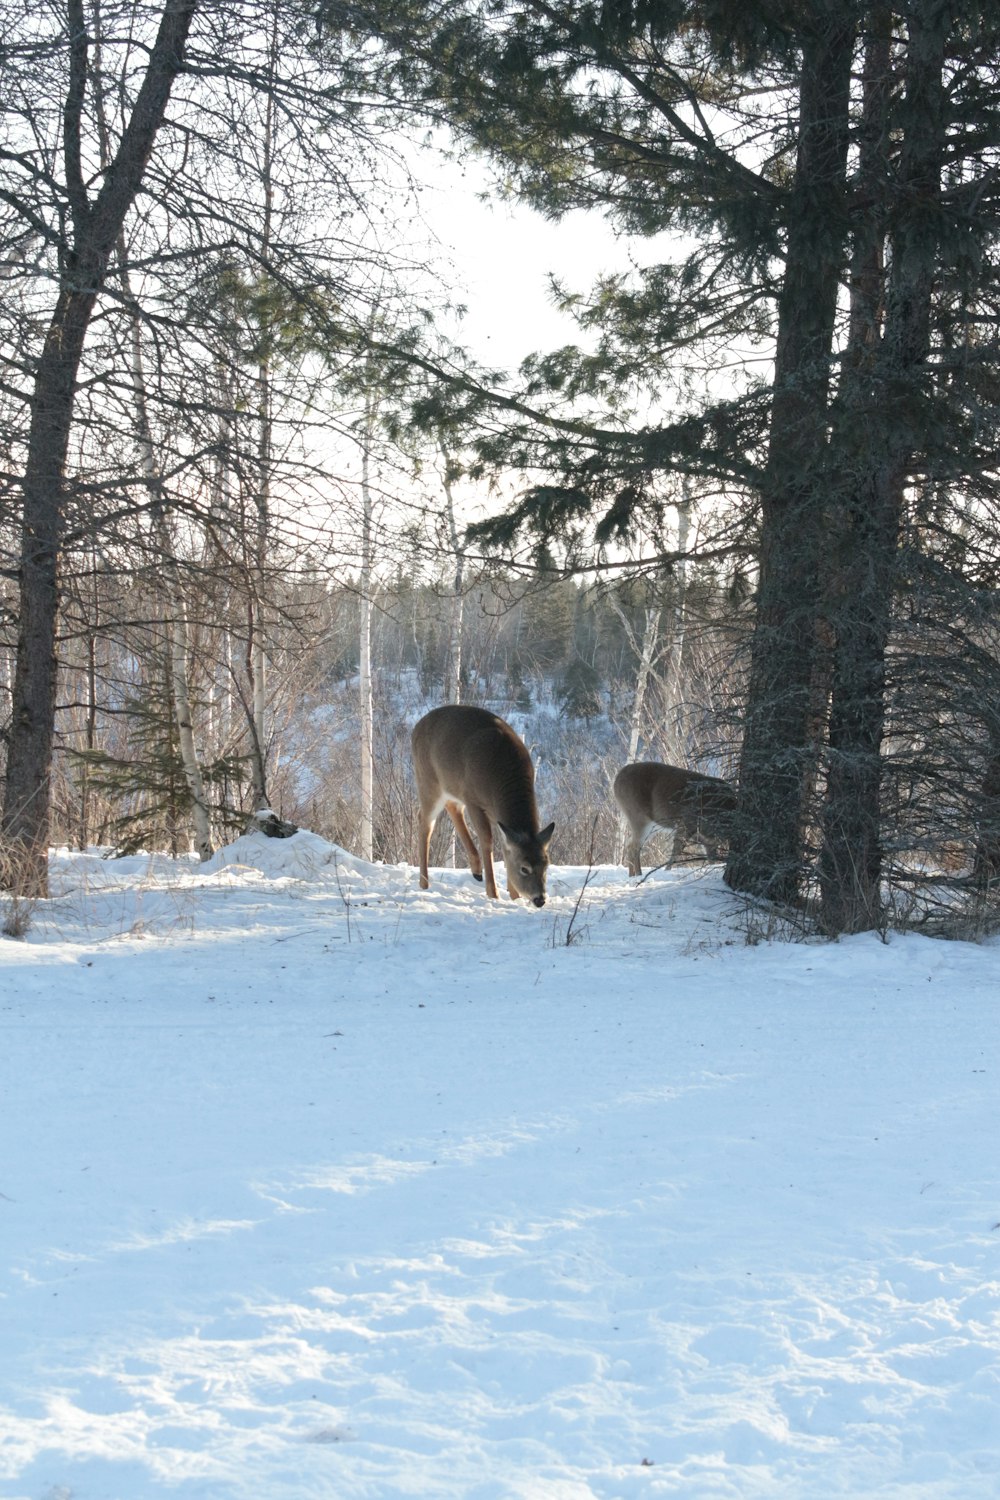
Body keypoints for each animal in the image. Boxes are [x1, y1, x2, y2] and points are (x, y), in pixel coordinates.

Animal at [413, 702, 560, 900]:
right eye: (524, 868)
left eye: (546, 865)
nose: (540, 899)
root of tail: (416, 728)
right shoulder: (474, 800)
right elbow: (487, 839)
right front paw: (494, 893)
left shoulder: (495, 813)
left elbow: (505, 846)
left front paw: (514, 895)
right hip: (429, 781)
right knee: (425, 821)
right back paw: (424, 883)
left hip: (452, 786)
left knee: (452, 807)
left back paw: (476, 871)